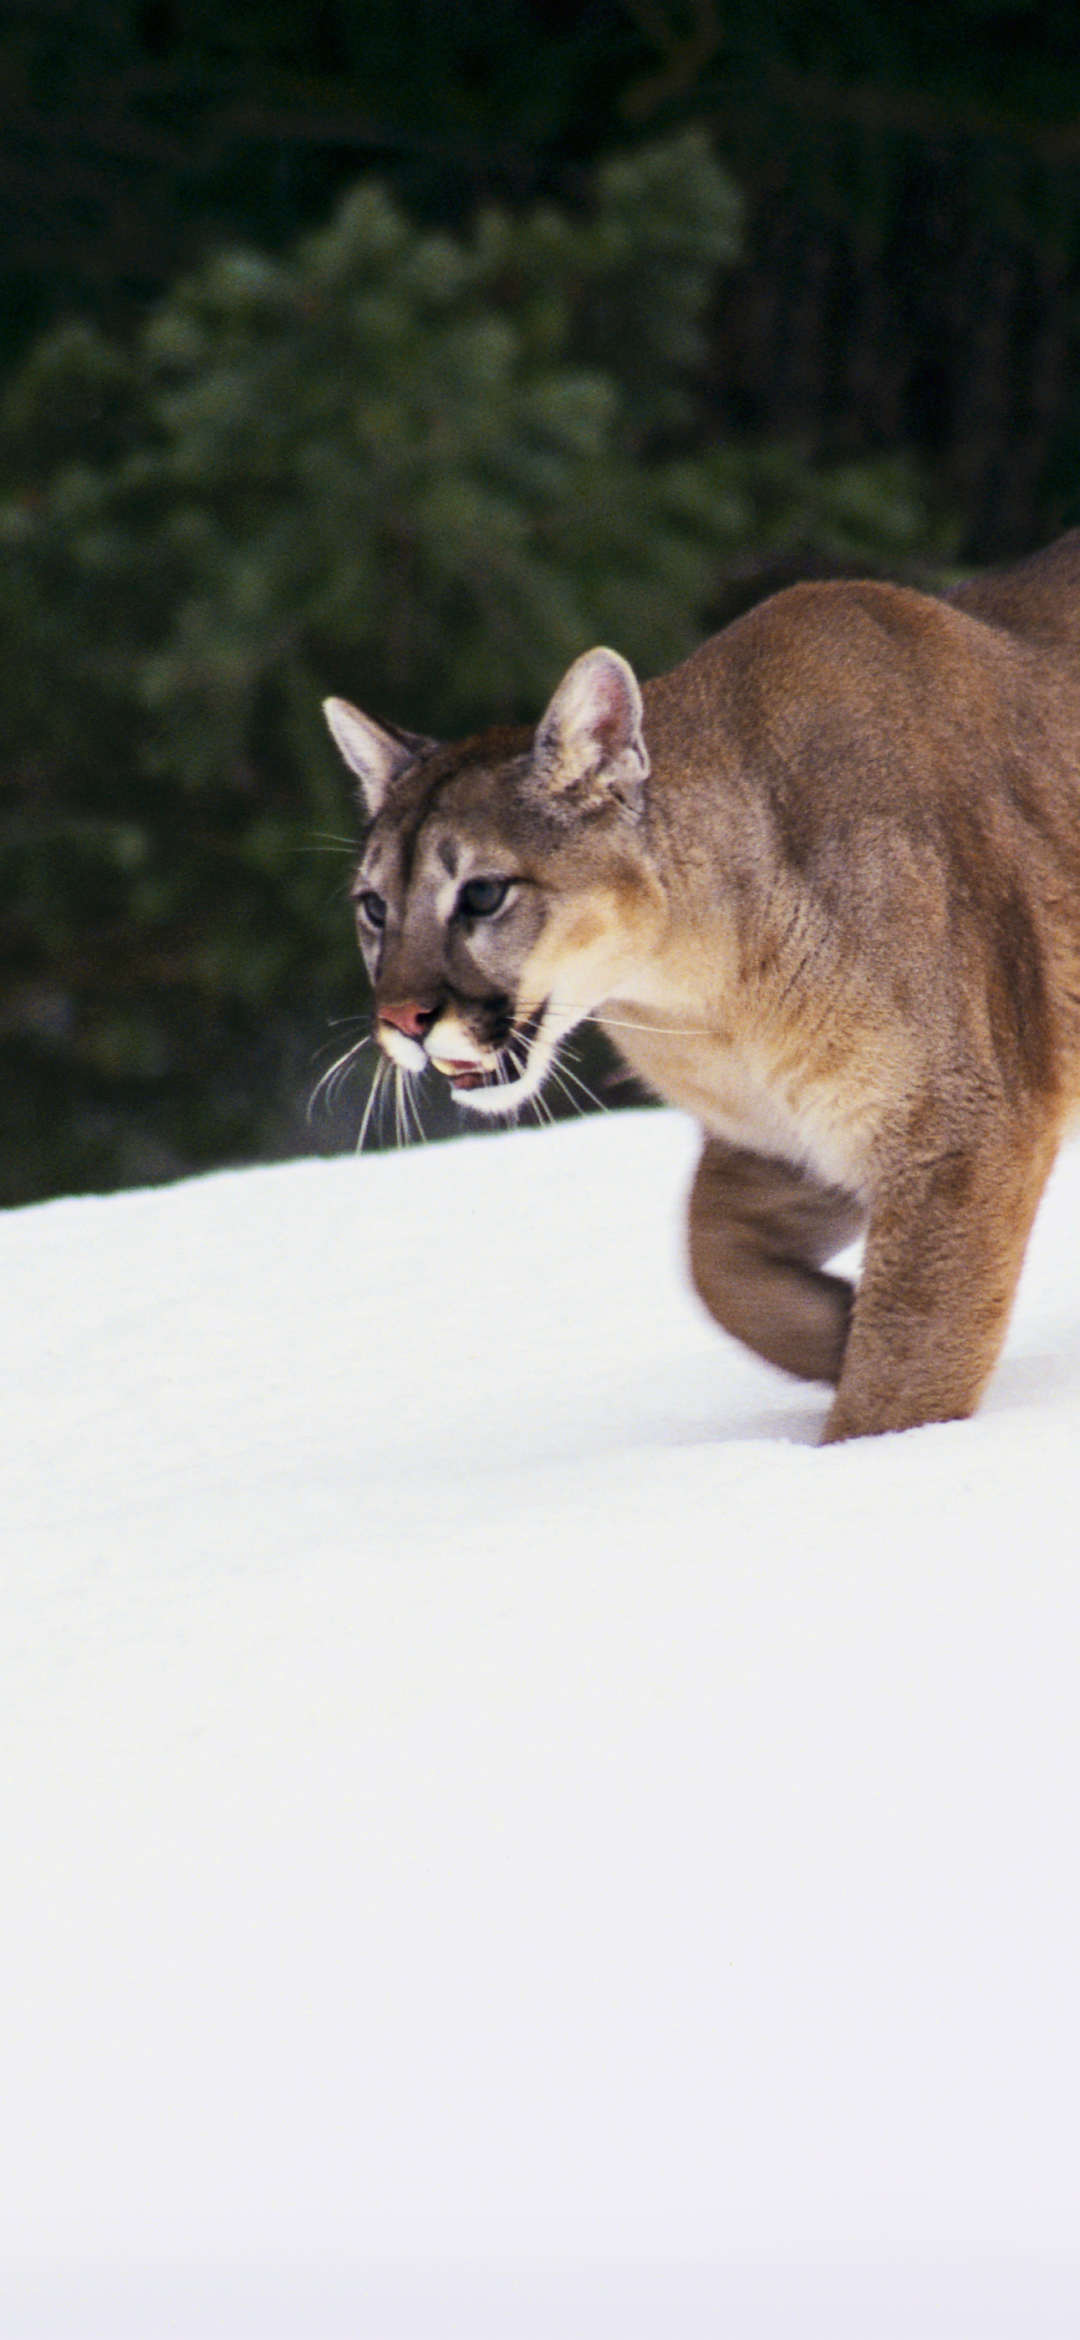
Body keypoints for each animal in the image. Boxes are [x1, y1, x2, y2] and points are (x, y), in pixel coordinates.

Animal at [322, 535, 1080, 1432]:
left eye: (481, 895)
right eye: (374, 908)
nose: (403, 1018)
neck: (697, 990)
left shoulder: (956, 1131)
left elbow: (910, 1361)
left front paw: (874, 1441)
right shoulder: (795, 1138)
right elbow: (709, 1257)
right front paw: (832, 1334)